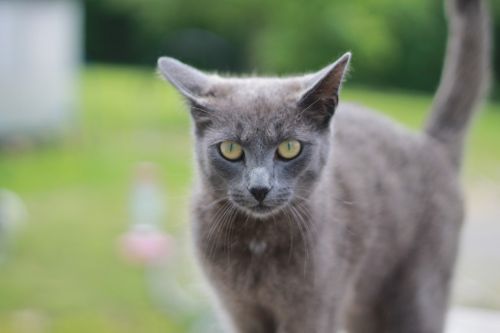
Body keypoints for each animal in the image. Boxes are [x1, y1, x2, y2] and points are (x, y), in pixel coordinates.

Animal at [158, 0, 490, 330]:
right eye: (230, 149)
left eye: (289, 148)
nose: (260, 187)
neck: (257, 240)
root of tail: (431, 144)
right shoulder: (238, 309)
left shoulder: (314, 307)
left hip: (418, 292)